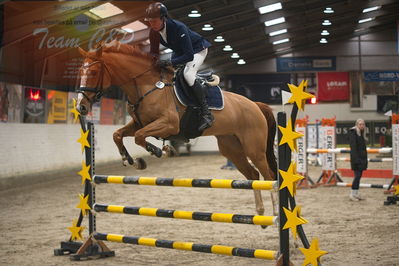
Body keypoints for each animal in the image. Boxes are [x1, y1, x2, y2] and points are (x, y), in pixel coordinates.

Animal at [76, 40, 280, 217]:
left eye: (94, 72)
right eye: (79, 71)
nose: (81, 107)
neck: (146, 85)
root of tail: (255, 104)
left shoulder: (168, 124)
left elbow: (139, 137)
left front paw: (161, 150)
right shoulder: (139, 123)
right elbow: (118, 134)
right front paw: (132, 160)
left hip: (254, 149)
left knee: (269, 176)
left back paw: (276, 214)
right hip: (232, 149)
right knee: (253, 174)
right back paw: (260, 212)